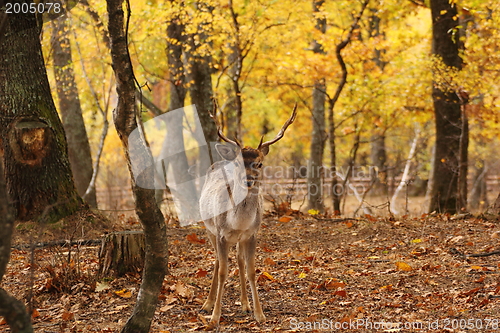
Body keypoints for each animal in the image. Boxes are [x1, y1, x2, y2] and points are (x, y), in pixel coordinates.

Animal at [199, 104, 296, 326]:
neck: (239, 223)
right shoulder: (221, 234)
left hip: (238, 240)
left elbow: (252, 271)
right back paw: (207, 303)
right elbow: (223, 271)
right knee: (216, 261)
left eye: (259, 163)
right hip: (208, 228)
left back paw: (245, 304)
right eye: (237, 164)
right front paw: (214, 317)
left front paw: (259, 314)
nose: (248, 181)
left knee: (239, 260)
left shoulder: (252, 234)